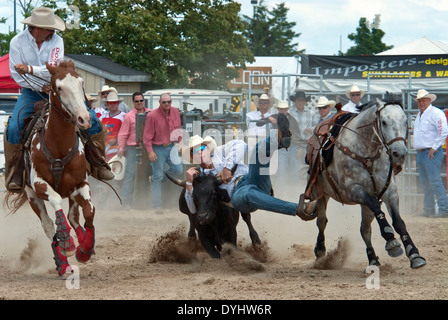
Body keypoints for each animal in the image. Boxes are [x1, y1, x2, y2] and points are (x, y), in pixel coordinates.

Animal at [5, 60, 96, 276]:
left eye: (81, 83)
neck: (59, 145)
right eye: (59, 88)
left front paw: (85, 249)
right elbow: (55, 202)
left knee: (73, 217)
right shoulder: (39, 184)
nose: (84, 118)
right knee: (48, 225)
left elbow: (89, 211)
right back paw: (62, 260)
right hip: (31, 195)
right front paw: (68, 243)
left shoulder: (80, 183)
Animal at [302, 95, 426, 270]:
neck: (368, 155)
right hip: (322, 193)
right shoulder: (353, 190)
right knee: (322, 221)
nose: (399, 153)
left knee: (365, 229)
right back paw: (320, 252)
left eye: (405, 121)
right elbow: (377, 208)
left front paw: (414, 254)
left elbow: (399, 222)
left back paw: (373, 259)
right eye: (384, 122)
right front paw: (391, 240)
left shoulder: (389, 191)